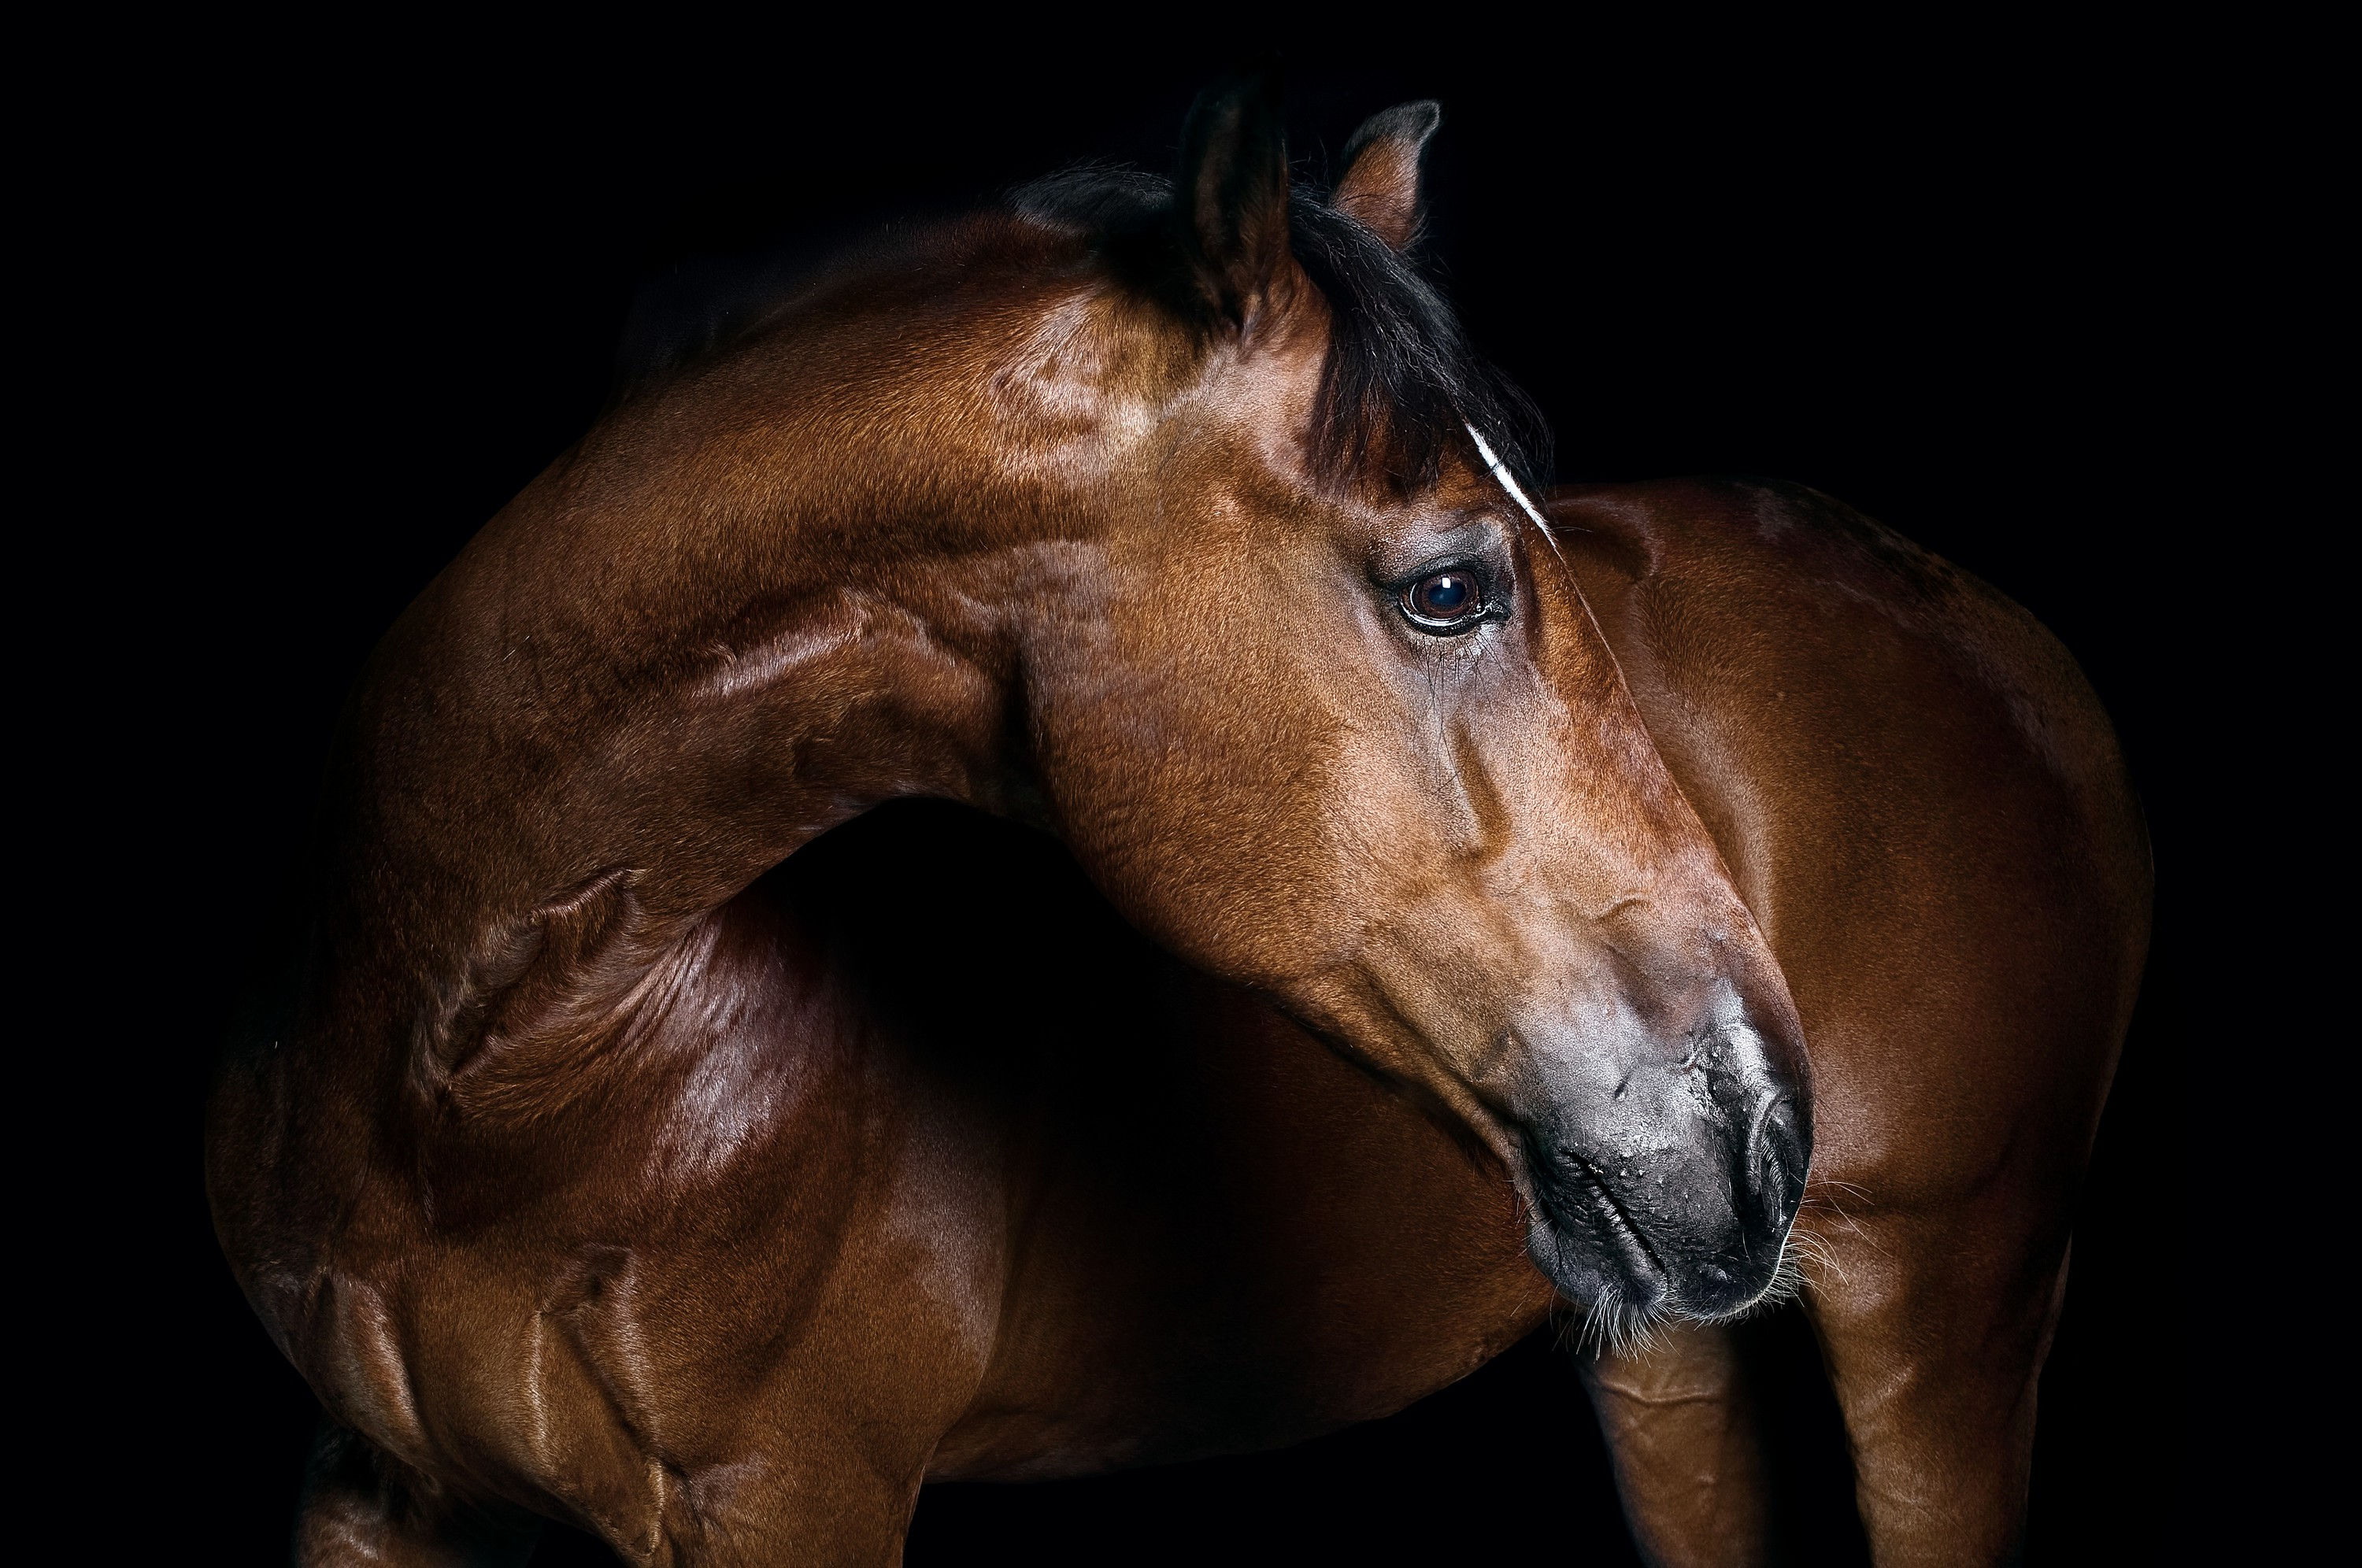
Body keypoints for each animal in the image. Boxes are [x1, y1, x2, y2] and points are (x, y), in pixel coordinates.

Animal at [206, 83, 2148, 1566]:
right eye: (1451, 585)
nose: (1754, 1117)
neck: (490, 1087)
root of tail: (1995, 629)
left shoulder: (785, 1500)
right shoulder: (377, 1491)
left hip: (1944, 1312)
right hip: (1671, 1363)